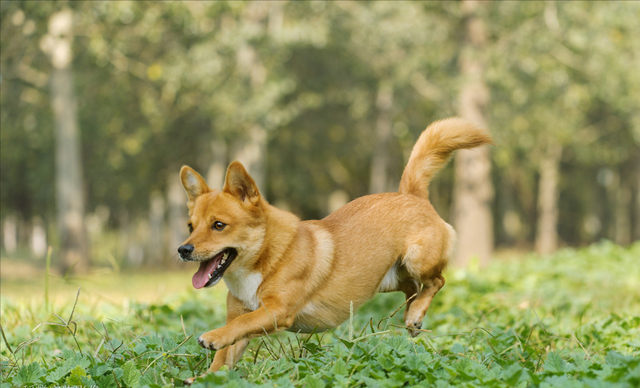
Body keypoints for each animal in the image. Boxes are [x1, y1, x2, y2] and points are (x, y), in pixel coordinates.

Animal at [178, 116, 492, 382]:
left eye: (219, 225)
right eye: (190, 225)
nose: (183, 250)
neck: (267, 256)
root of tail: (411, 194)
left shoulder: (276, 311)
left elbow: (239, 325)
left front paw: (213, 336)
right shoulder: (244, 322)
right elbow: (224, 355)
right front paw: (204, 377)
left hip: (418, 262)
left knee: (436, 281)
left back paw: (415, 315)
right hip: (386, 279)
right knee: (414, 289)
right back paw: (412, 316)